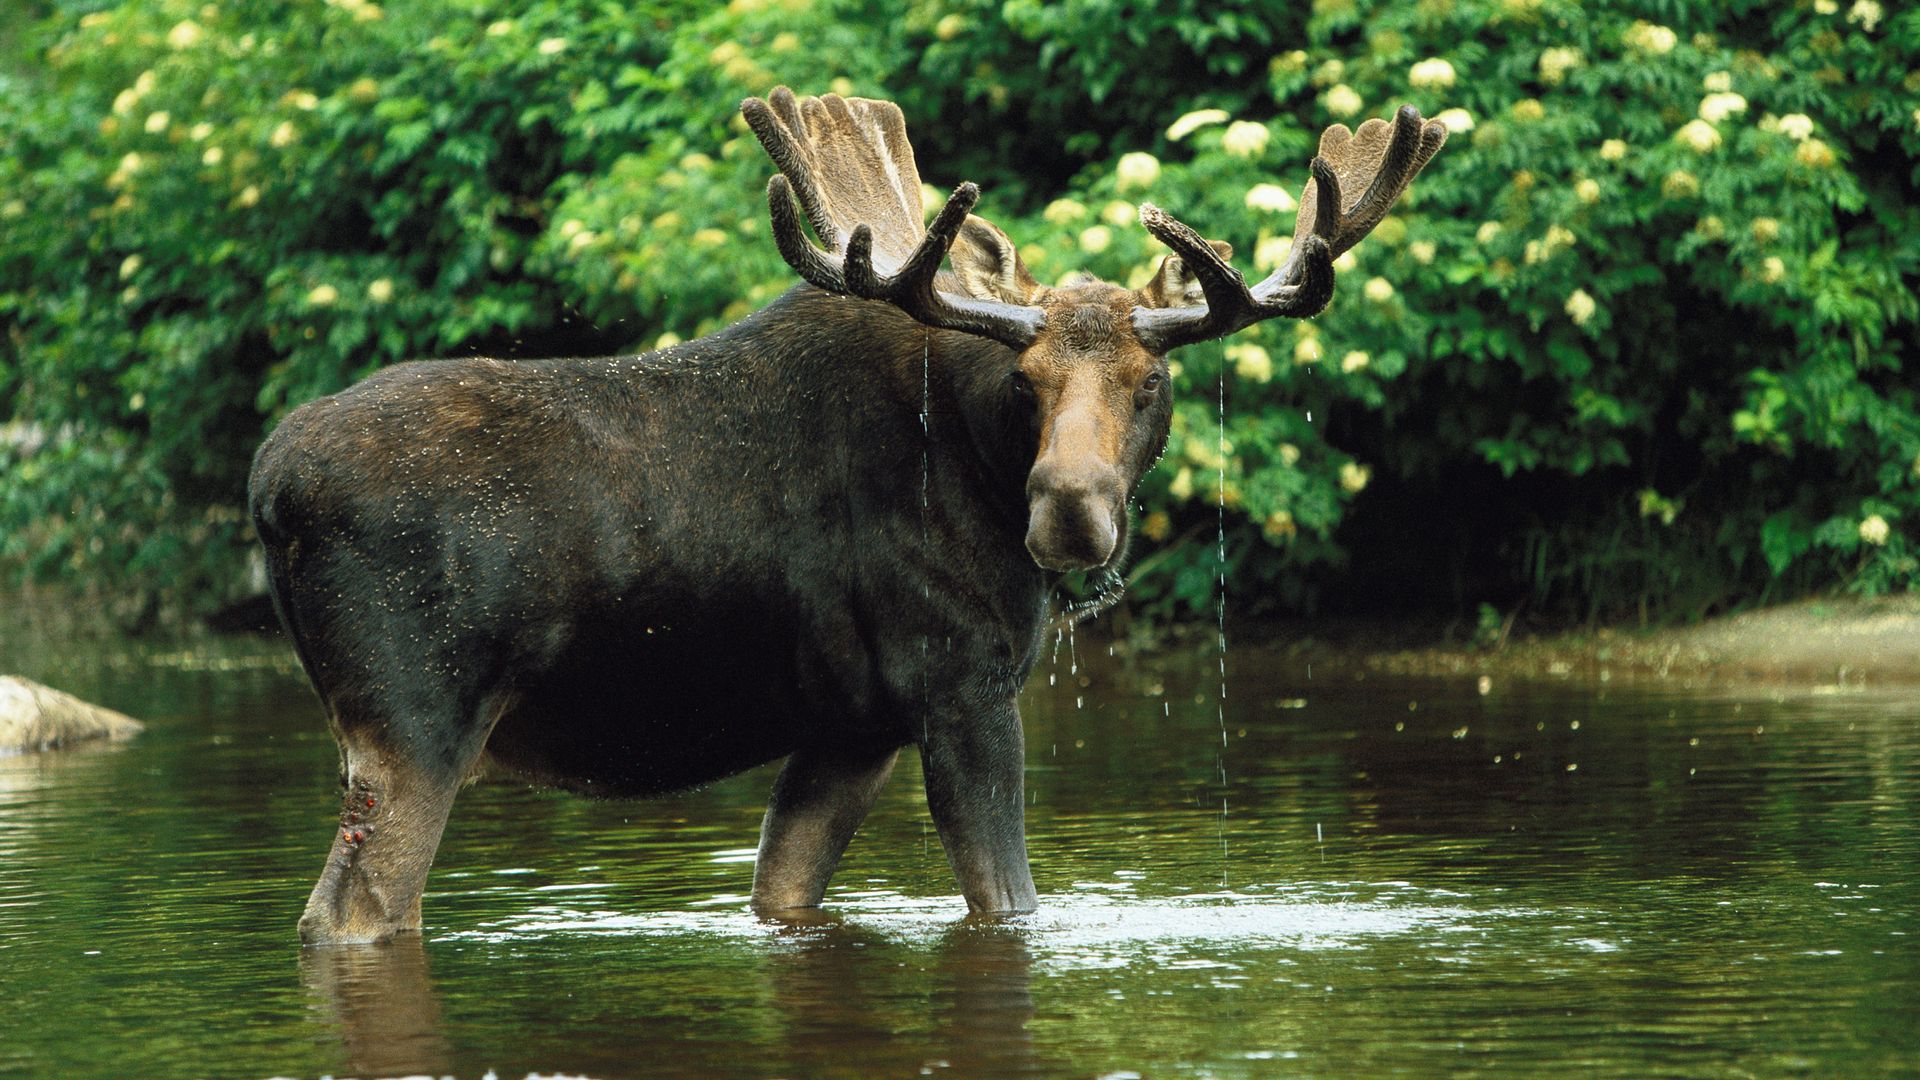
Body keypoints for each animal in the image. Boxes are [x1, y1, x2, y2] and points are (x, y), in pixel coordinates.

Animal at [251, 88, 1443, 937]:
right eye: (1027, 384)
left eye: (1150, 384)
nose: (1067, 515)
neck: (974, 459)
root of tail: (268, 486)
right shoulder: (961, 686)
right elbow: (1008, 903)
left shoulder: (850, 723)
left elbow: (783, 891)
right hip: (414, 718)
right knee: (349, 914)